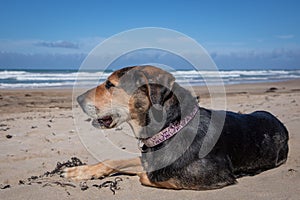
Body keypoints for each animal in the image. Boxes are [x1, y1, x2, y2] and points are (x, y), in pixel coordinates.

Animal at [62, 66, 288, 190]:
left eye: (110, 85)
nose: (78, 99)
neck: (173, 127)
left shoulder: (214, 175)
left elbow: (147, 176)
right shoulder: (148, 158)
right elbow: (114, 160)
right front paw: (79, 171)